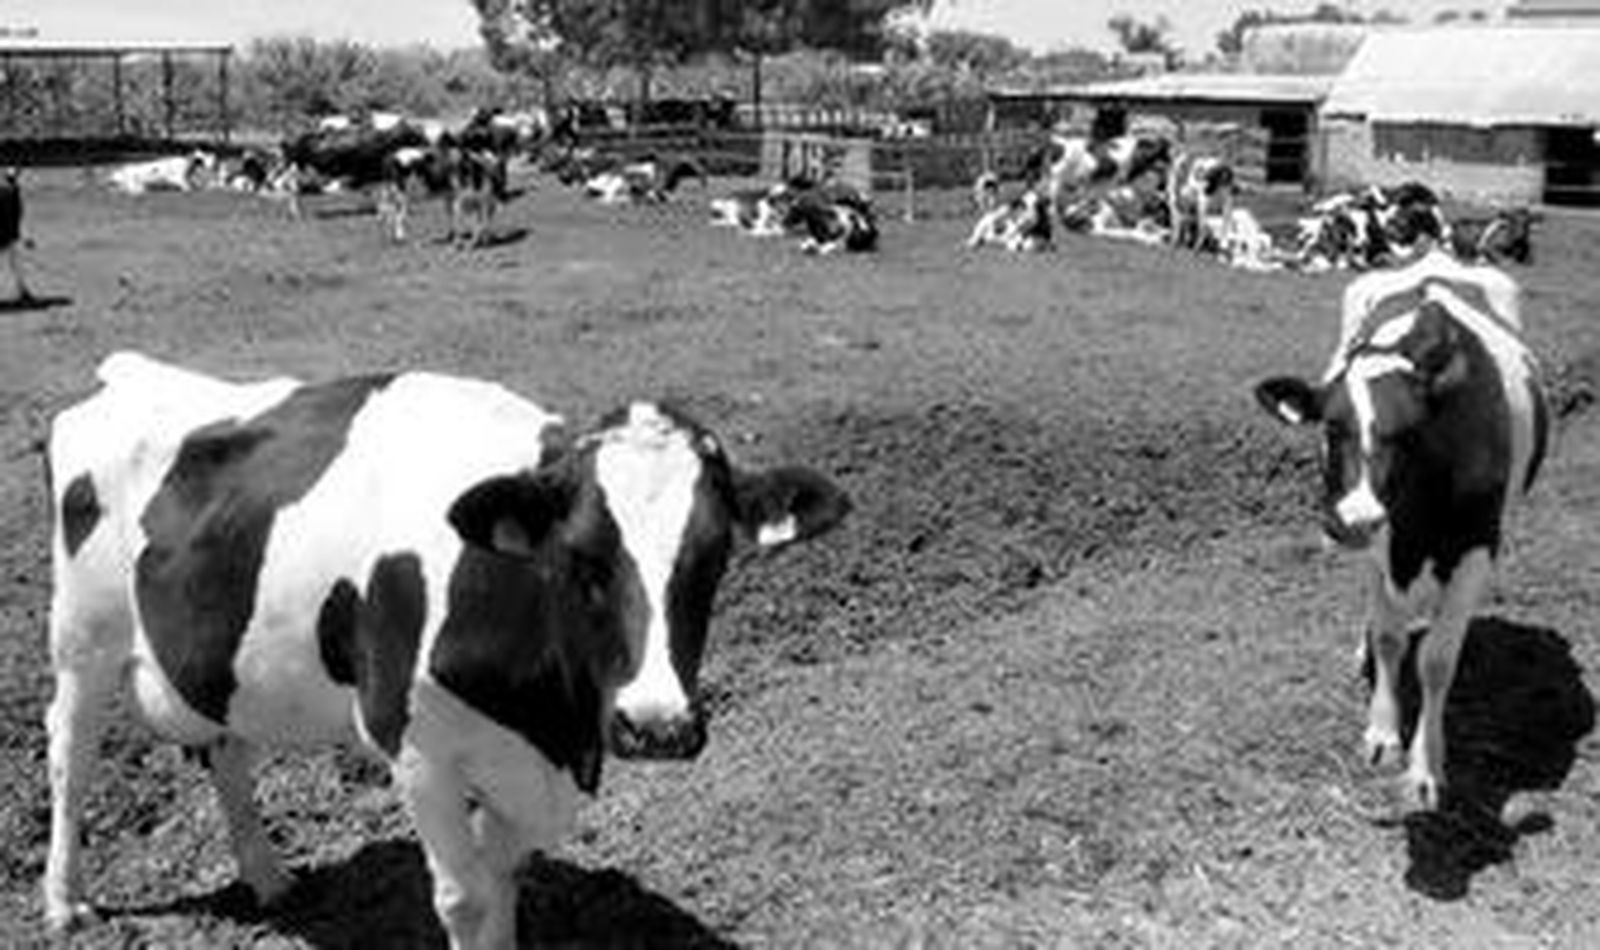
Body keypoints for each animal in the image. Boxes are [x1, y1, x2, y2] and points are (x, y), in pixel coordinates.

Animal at [41, 352, 851, 949]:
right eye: (580, 557)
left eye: (713, 558)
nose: (658, 726)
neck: (553, 722)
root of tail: (131, 372)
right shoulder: (417, 748)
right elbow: (464, 899)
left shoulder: (527, 764)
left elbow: (501, 883)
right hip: (81, 639)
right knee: (69, 758)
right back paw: (65, 902)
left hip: (213, 661)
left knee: (227, 754)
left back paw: (269, 877)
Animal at [1253, 249, 1548, 810]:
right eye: (1331, 427)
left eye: (1410, 432)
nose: (1354, 519)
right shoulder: (1379, 550)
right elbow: (1391, 639)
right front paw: (1383, 733)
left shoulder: (1476, 546)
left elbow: (1436, 659)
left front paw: (1425, 766)